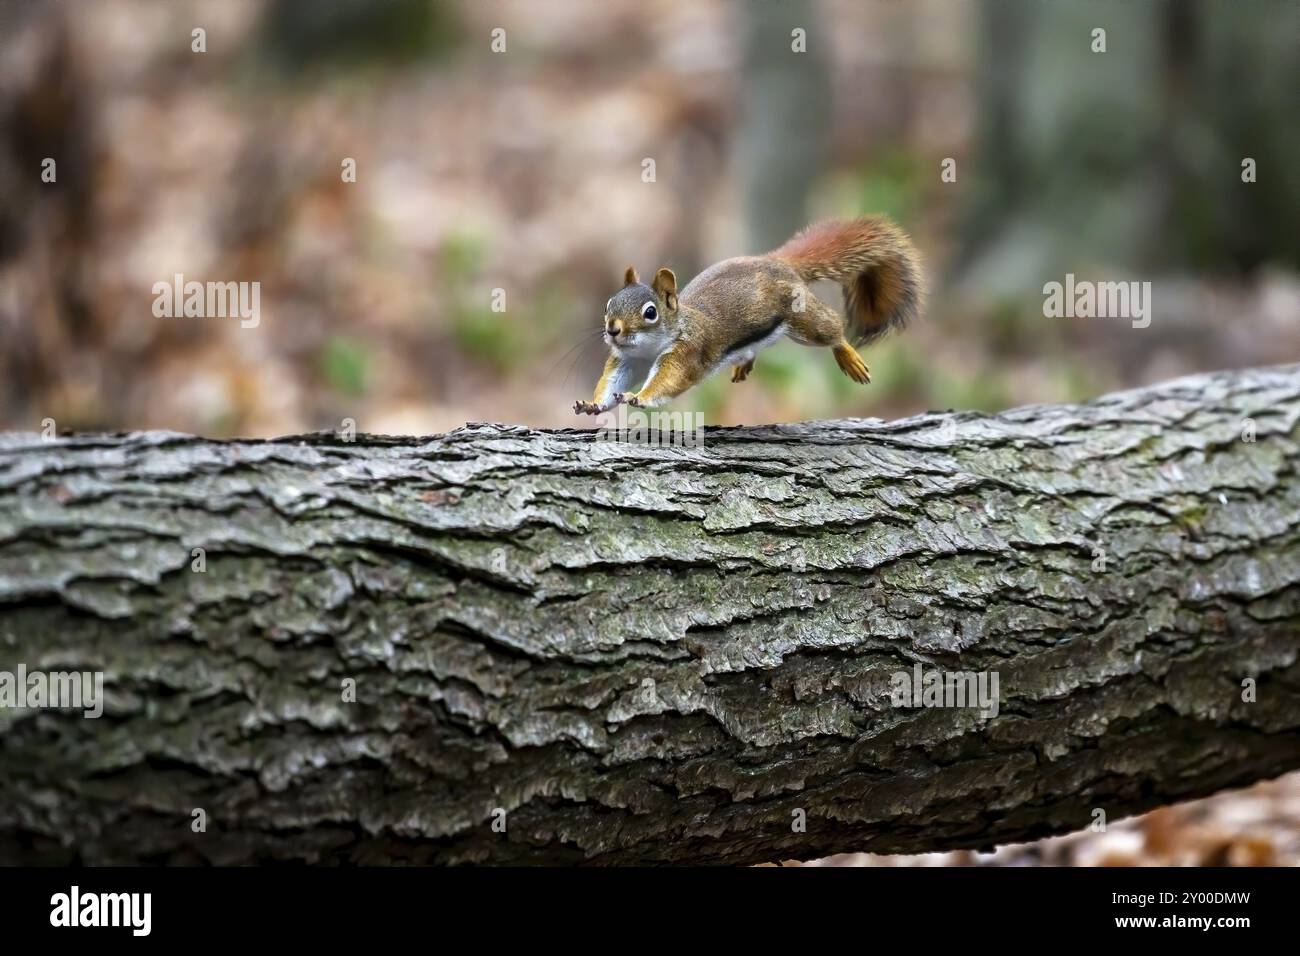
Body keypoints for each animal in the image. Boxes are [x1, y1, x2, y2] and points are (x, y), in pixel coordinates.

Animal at [572, 217, 925, 416]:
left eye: (650, 312)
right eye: (609, 304)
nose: (612, 329)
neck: (650, 347)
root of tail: (778, 263)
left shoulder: (685, 354)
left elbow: (667, 381)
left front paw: (639, 397)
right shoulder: (627, 362)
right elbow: (610, 384)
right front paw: (593, 404)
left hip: (803, 320)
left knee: (831, 329)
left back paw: (849, 357)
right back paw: (743, 364)